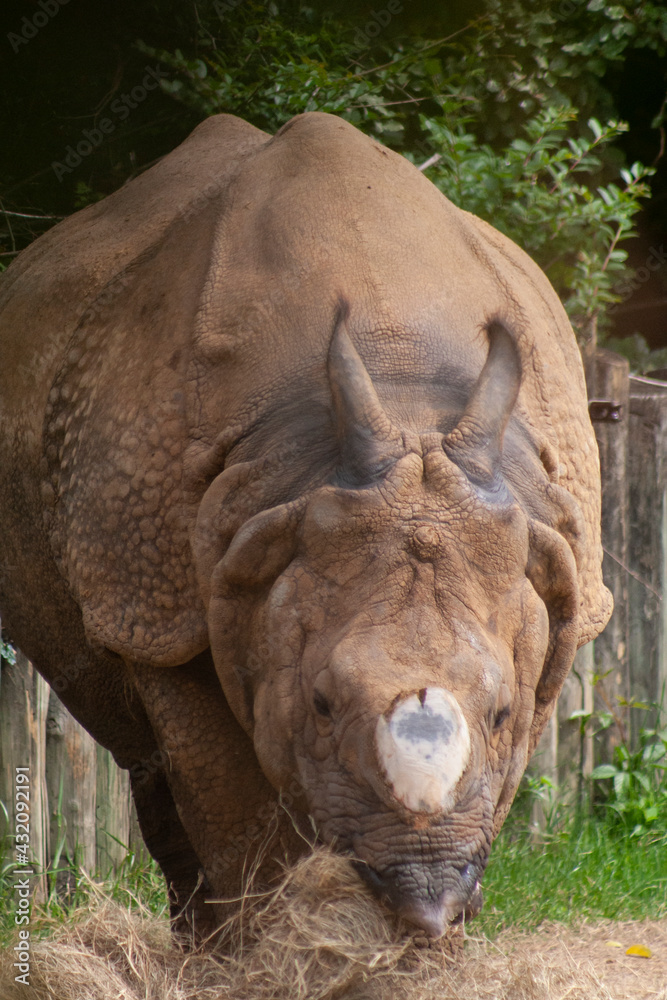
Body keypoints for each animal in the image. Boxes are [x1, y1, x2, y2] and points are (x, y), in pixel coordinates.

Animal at [0, 112, 611, 940]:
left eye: (501, 710)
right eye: (319, 703)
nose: (424, 896)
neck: (402, 392)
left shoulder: (549, 575)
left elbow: (497, 775)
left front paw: (429, 947)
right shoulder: (156, 603)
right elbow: (231, 808)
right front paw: (276, 948)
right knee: (143, 756)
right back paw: (200, 947)